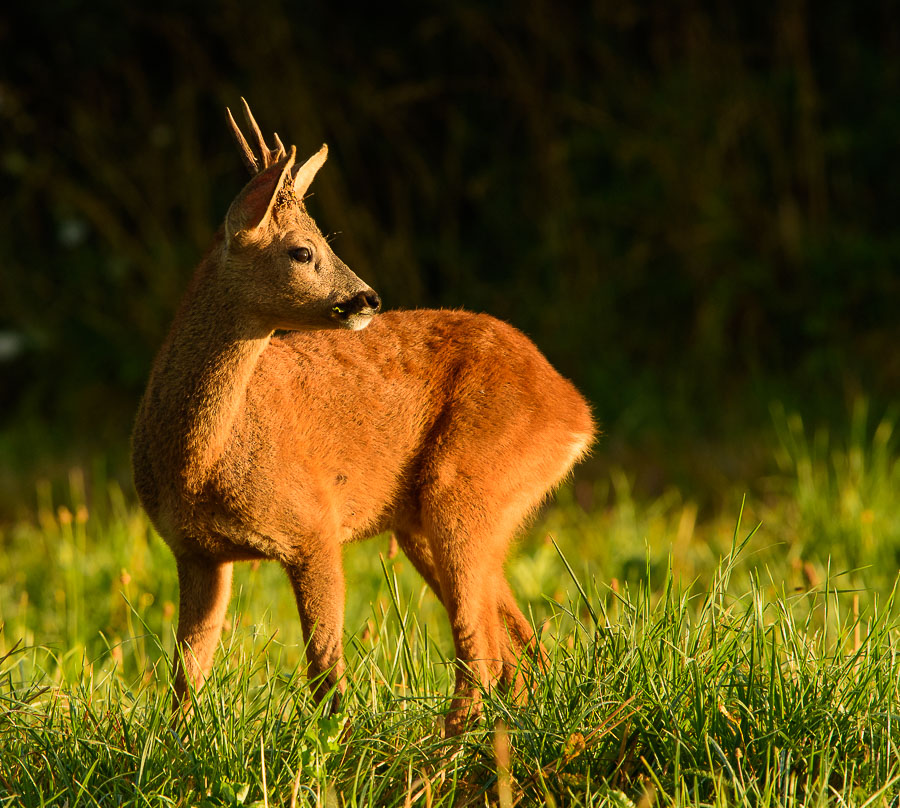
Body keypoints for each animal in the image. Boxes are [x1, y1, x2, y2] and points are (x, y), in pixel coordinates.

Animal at [130, 99, 596, 732]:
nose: (368, 298)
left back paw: (443, 750)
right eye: (303, 250)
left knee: (483, 651)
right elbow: (187, 674)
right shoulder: (196, 552)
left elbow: (324, 668)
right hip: (436, 519)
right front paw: (175, 745)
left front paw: (336, 743)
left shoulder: (314, 524)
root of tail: (577, 413)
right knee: (519, 649)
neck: (199, 461)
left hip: (465, 487)